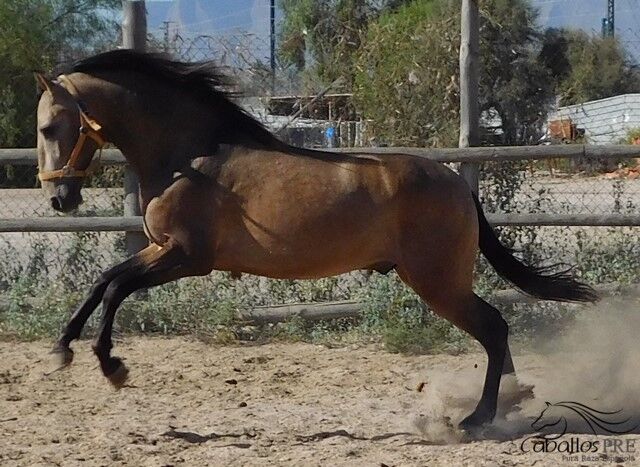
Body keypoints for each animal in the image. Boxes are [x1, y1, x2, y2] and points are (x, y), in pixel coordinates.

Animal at [33, 49, 596, 430]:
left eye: (48, 126)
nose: (59, 199)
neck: (188, 157)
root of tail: (458, 183)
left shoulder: (185, 257)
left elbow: (114, 288)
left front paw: (111, 365)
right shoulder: (160, 251)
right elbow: (103, 282)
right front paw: (61, 351)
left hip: (439, 284)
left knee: (495, 328)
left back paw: (479, 419)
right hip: (437, 282)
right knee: (495, 332)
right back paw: (509, 404)